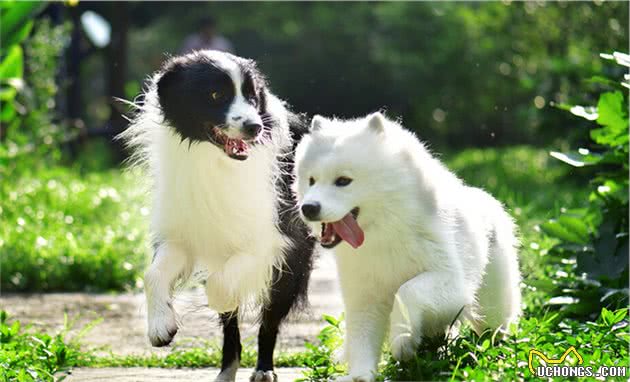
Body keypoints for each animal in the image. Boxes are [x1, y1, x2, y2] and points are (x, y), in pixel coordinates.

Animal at [123, 50, 318, 380]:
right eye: (215, 95)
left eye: (252, 96)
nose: (255, 127)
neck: (213, 160)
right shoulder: (182, 233)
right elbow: (153, 274)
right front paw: (161, 326)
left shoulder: (276, 239)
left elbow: (221, 287)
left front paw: (220, 299)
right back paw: (226, 371)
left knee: (269, 317)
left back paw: (263, 369)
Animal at [294, 113, 520, 382]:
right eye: (311, 180)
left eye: (343, 181)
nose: (308, 208)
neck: (384, 230)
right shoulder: (364, 296)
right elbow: (363, 338)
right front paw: (361, 375)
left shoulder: (452, 281)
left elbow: (406, 291)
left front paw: (402, 341)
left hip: (492, 307)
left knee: (492, 331)